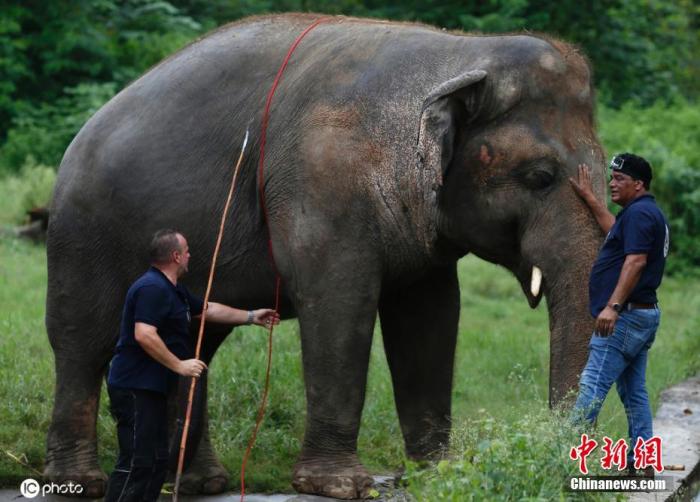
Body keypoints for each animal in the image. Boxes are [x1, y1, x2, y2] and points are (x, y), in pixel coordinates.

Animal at [43, 13, 604, 500]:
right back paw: (81, 483)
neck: (461, 52)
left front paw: (438, 475)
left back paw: (201, 483)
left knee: (196, 339)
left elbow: (431, 316)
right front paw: (339, 487)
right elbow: (339, 303)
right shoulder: (322, 182)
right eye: (540, 177)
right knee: (81, 343)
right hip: (81, 236)